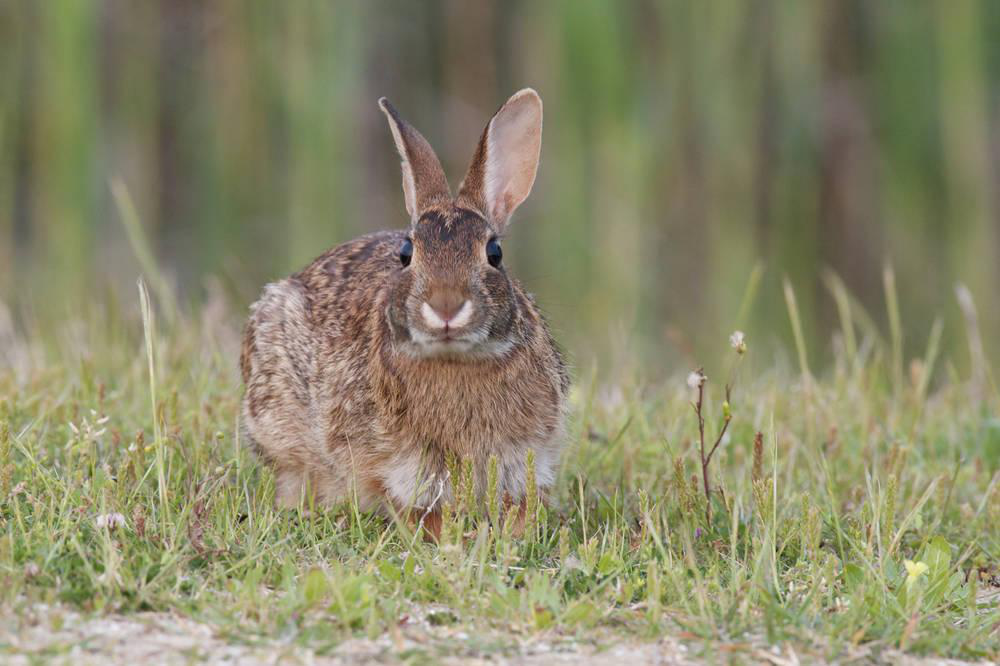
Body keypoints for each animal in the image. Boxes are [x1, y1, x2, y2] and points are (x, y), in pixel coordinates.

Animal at [240, 89, 572, 528]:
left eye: (494, 253)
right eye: (406, 253)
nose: (445, 308)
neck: (453, 360)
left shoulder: (526, 453)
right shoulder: (396, 461)